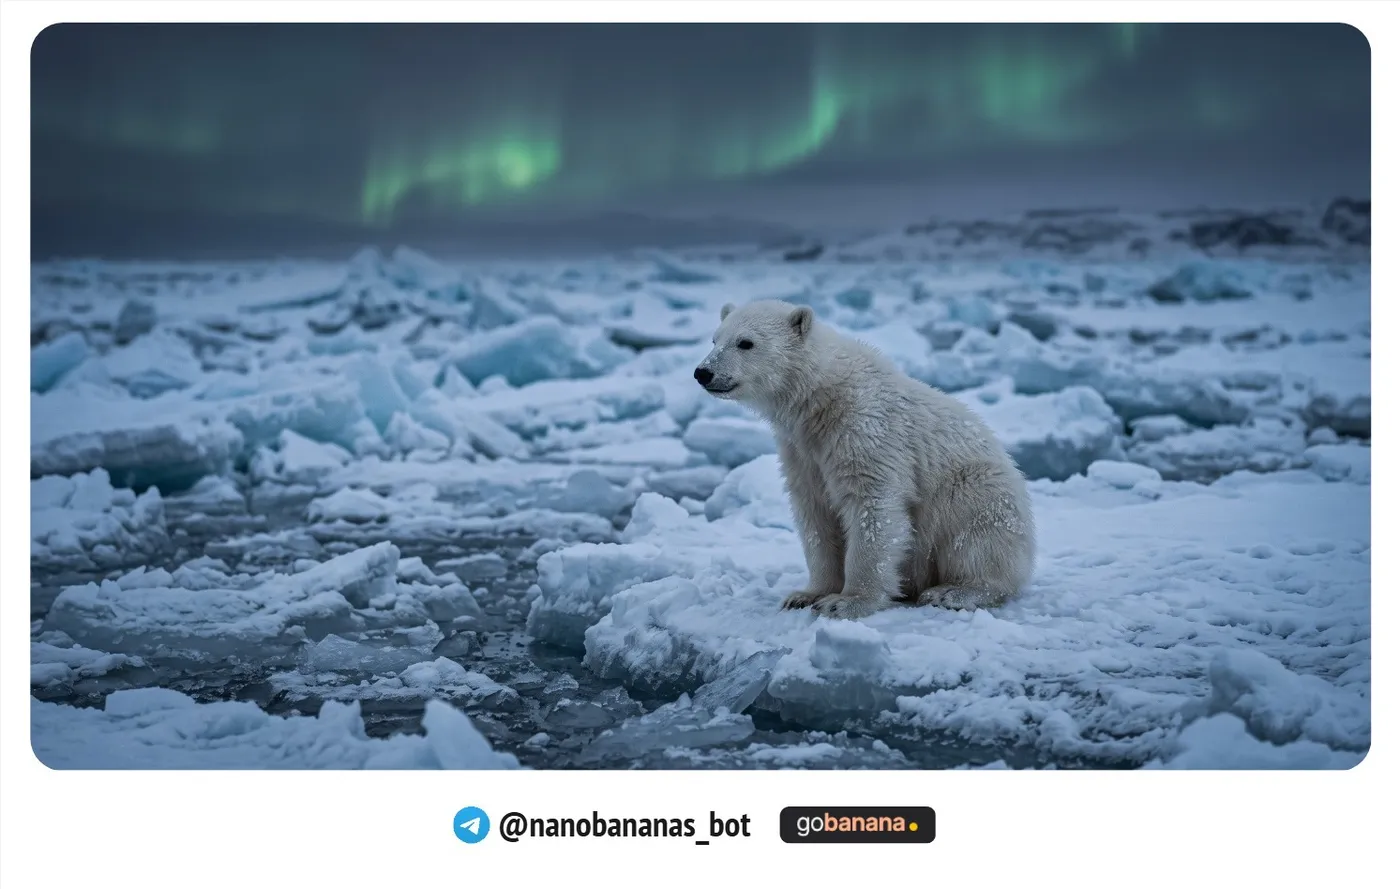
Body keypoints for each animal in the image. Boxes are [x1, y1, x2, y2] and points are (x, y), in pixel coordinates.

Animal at [693, 299, 1036, 620]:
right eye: (715, 339)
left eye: (746, 342)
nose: (703, 373)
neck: (822, 397)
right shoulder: (802, 452)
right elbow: (815, 514)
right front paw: (806, 595)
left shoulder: (865, 429)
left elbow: (872, 507)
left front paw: (847, 602)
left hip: (975, 487)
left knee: (977, 536)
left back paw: (953, 591)